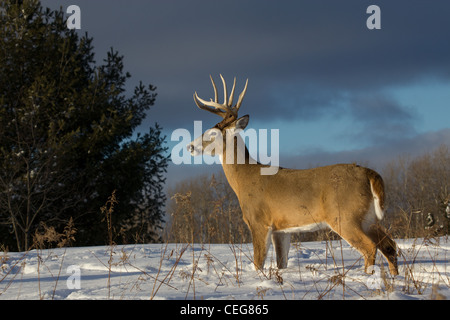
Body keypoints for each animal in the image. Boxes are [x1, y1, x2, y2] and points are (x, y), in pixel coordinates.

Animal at [188, 74, 400, 276]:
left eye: (212, 134)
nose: (190, 146)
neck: (244, 179)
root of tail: (370, 173)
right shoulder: (281, 229)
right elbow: (281, 263)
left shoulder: (259, 221)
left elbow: (258, 263)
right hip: (368, 217)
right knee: (389, 245)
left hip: (345, 216)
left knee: (370, 248)